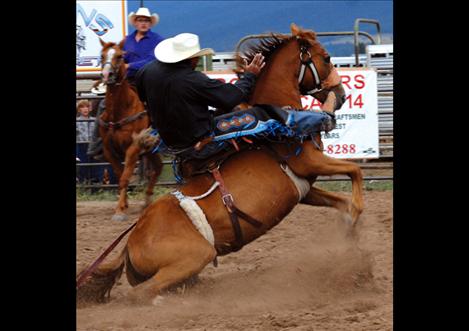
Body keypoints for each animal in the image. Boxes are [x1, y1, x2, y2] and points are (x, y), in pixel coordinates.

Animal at [97, 40, 163, 222]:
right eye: (102, 55)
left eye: (120, 56)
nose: (107, 74)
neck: (119, 111)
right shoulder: (108, 150)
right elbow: (120, 175)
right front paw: (124, 204)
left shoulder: (133, 148)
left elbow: (125, 178)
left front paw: (120, 211)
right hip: (150, 149)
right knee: (158, 167)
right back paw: (146, 201)